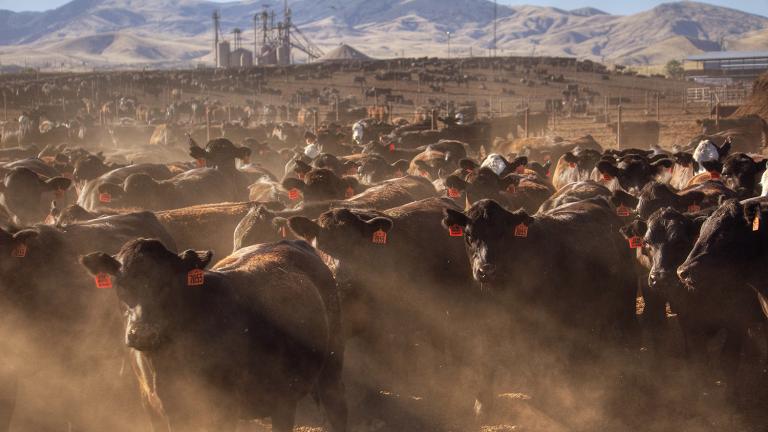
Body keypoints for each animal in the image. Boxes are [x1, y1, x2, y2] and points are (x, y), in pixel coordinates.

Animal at [81, 239, 346, 432]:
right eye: (120, 284)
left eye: (168, 283)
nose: (143, 333)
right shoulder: (156, 408)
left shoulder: (223, 410)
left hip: (328, 372)